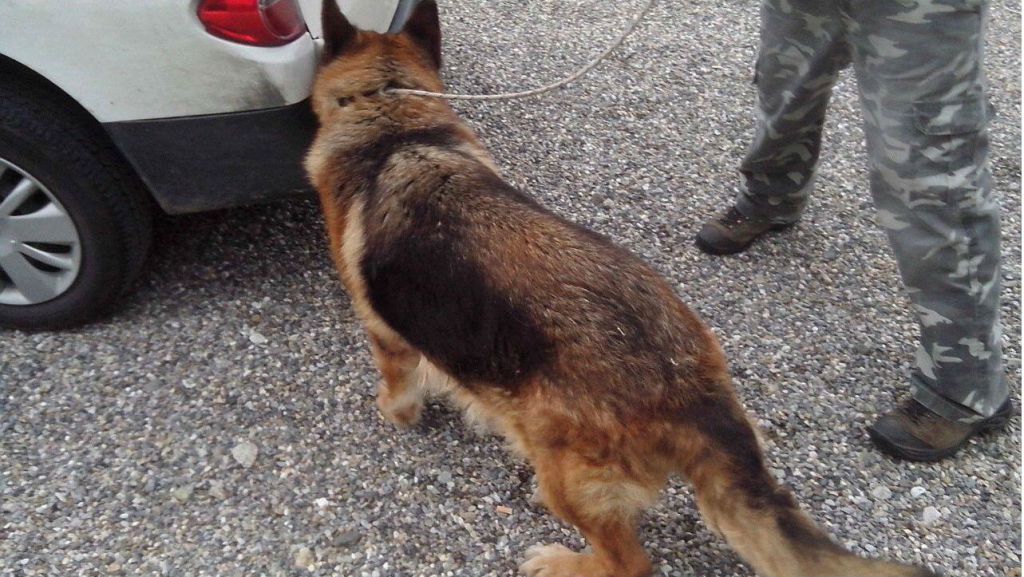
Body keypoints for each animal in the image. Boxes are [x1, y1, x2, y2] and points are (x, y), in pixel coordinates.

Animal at [304, 2, 939, 576]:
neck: (394, 118)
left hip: (564, 472)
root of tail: (688, 384)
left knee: (627, 561)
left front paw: (397, 411)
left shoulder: (384, 332)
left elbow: (398, 378)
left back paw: (564, 561)